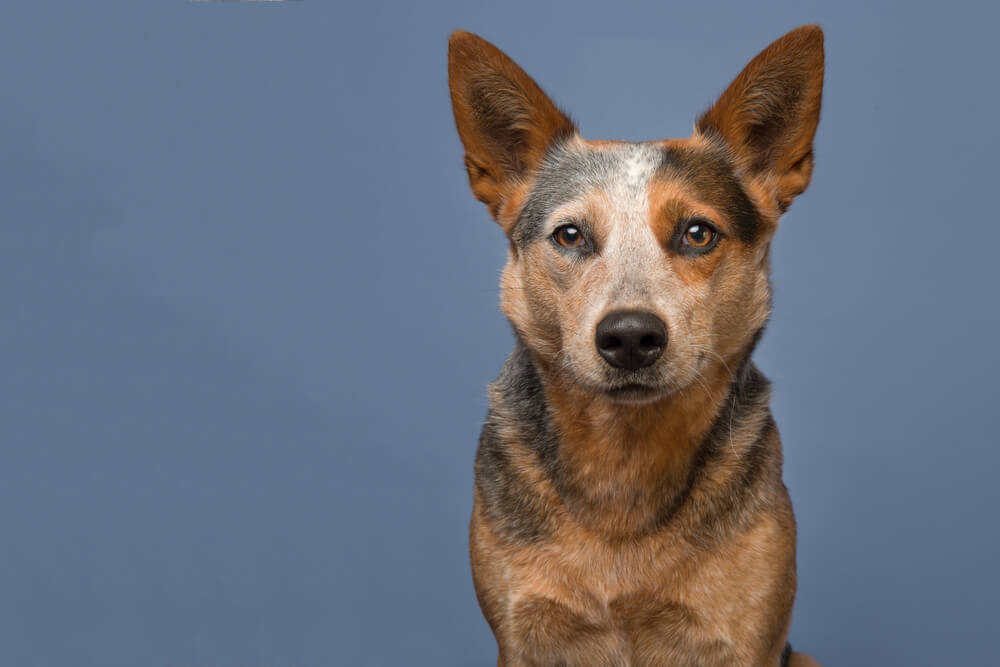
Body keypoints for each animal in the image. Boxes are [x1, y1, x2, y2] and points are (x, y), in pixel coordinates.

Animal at [450, 23, 824, 664]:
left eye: (697, 233)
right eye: (569, 235)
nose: (629, 336)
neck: (624, 465)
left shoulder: (746, 638)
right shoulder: (521, 635)